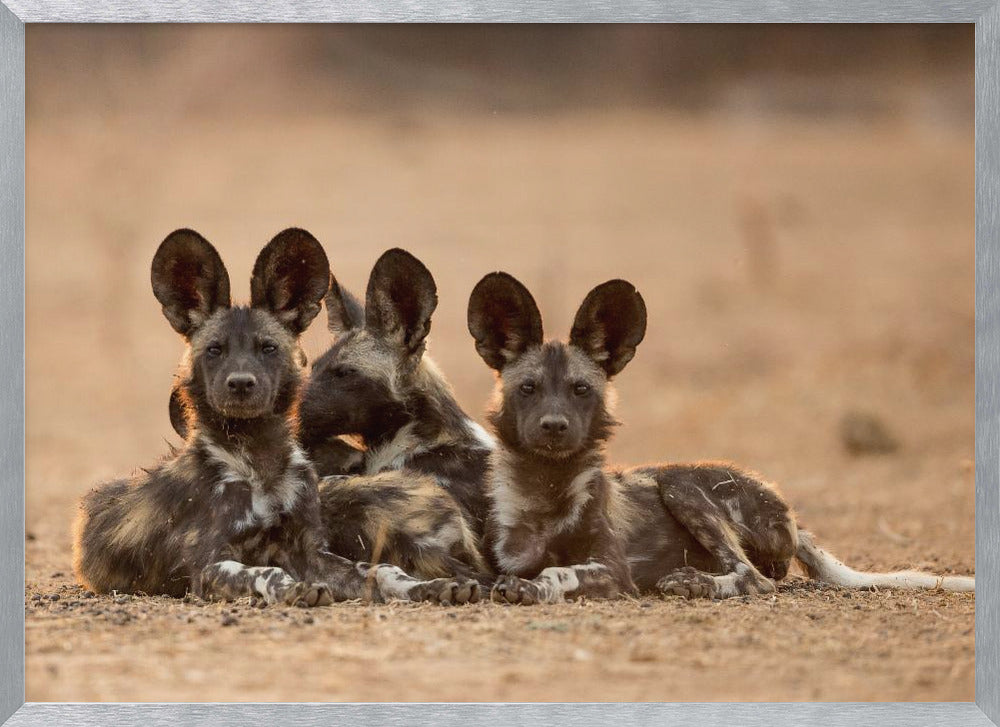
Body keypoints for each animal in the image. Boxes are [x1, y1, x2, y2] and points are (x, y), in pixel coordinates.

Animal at [72, 230, 478, 604]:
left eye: (268, 348)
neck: (260, 458)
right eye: (215, 350)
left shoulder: (312, 552)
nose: (240, 383)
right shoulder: (209, 566)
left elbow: (381, 570)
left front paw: (432, 586)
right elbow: (266, 571)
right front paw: (296, 588)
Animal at [468, 272, 976, 604]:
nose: (554, 426)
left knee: (754, 578)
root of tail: (792, 515)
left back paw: (695, 582)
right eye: (528, 388)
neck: (547, 491)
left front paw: (534, 587)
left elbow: (559, 572)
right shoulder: (507, 555)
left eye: (580, 390)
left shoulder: (613, 572)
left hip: (680, 485)